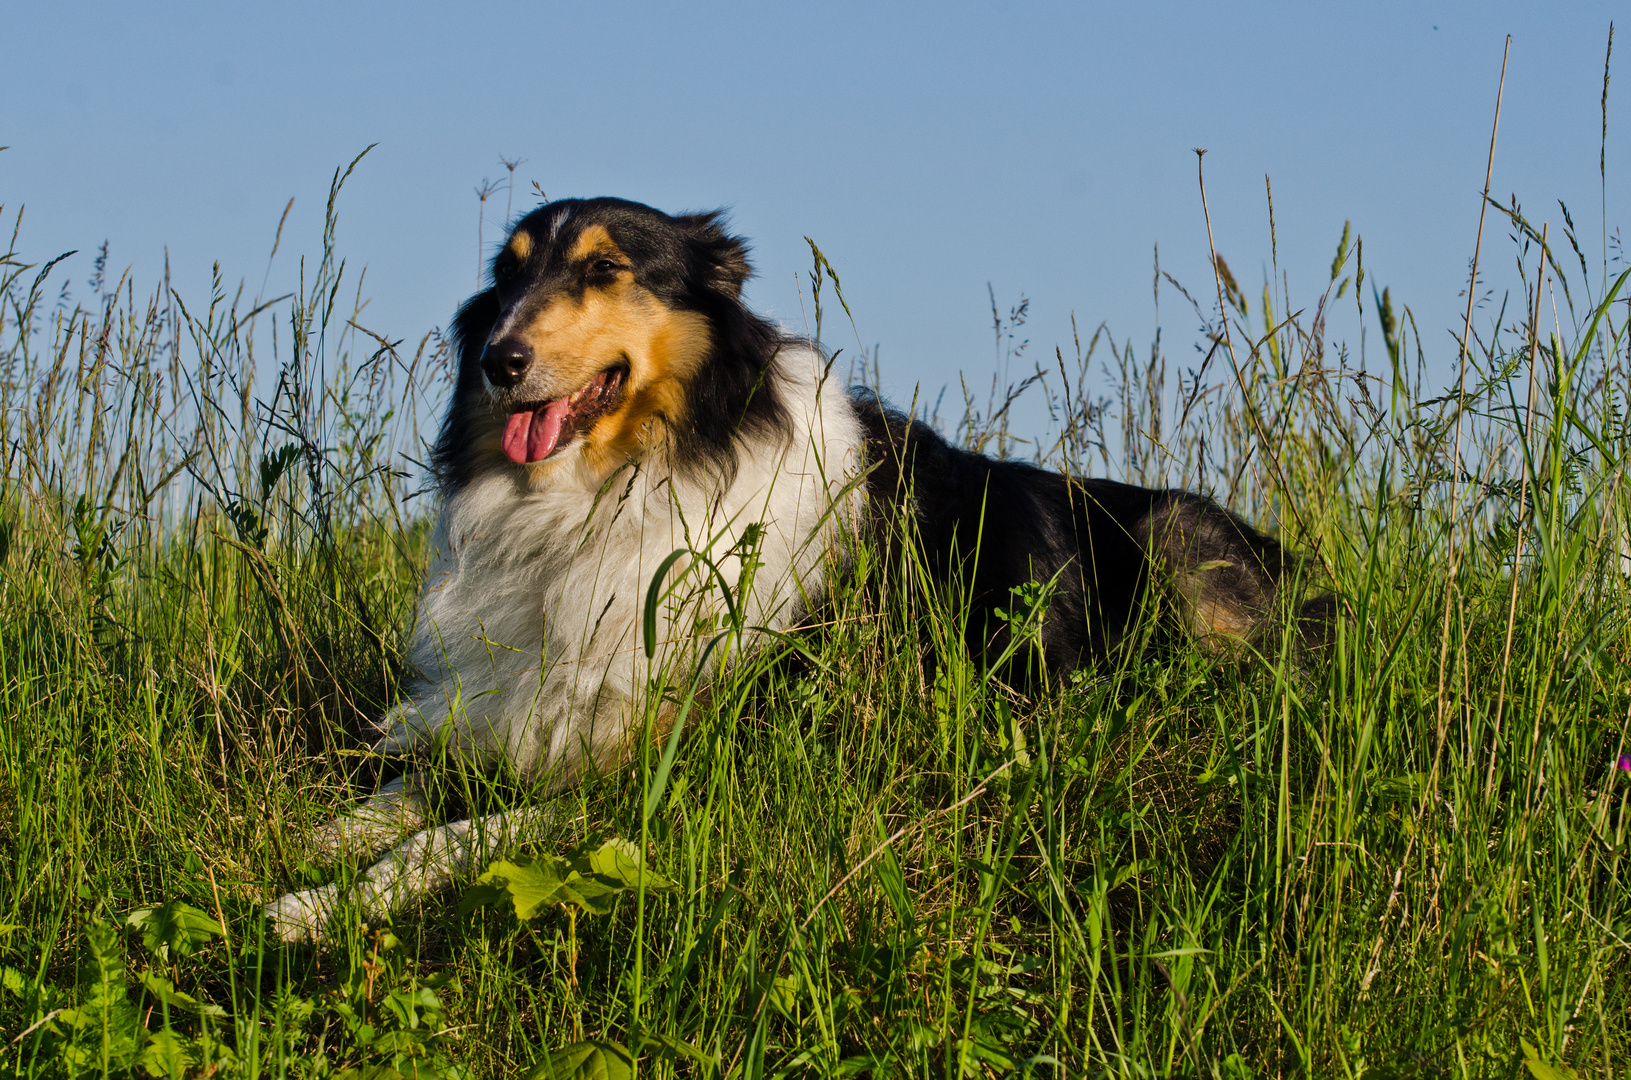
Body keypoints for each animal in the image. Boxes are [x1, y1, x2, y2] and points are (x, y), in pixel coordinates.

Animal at [264, 199, 1324, 946]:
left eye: (604, 268)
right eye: (506, 274)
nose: (497, 358)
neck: (627, 485)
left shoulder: (677, 765)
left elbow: (454, 837)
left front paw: (325, 903)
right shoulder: (507, 711)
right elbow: (398, 796)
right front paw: (308, 851)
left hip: (1178, 543)